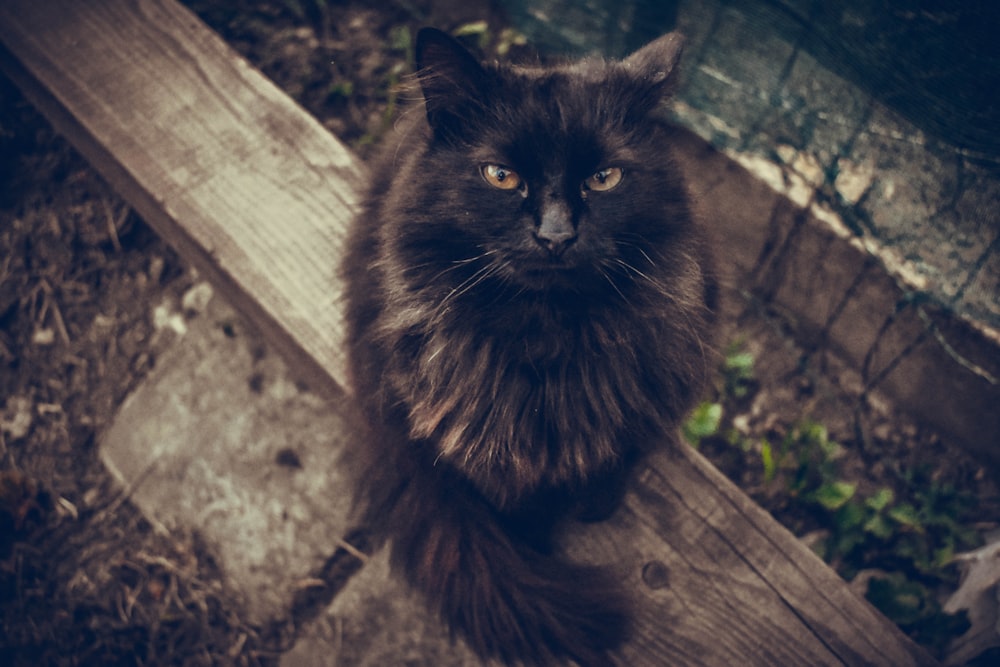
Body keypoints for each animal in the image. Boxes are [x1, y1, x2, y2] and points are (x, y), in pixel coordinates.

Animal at [340, 28, 716, 664]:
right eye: (501, 176)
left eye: (604, 178)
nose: (556, 235)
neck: (549, 341)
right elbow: (520, 512)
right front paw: (538, 539)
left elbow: (614, 459)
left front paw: (596, 504)